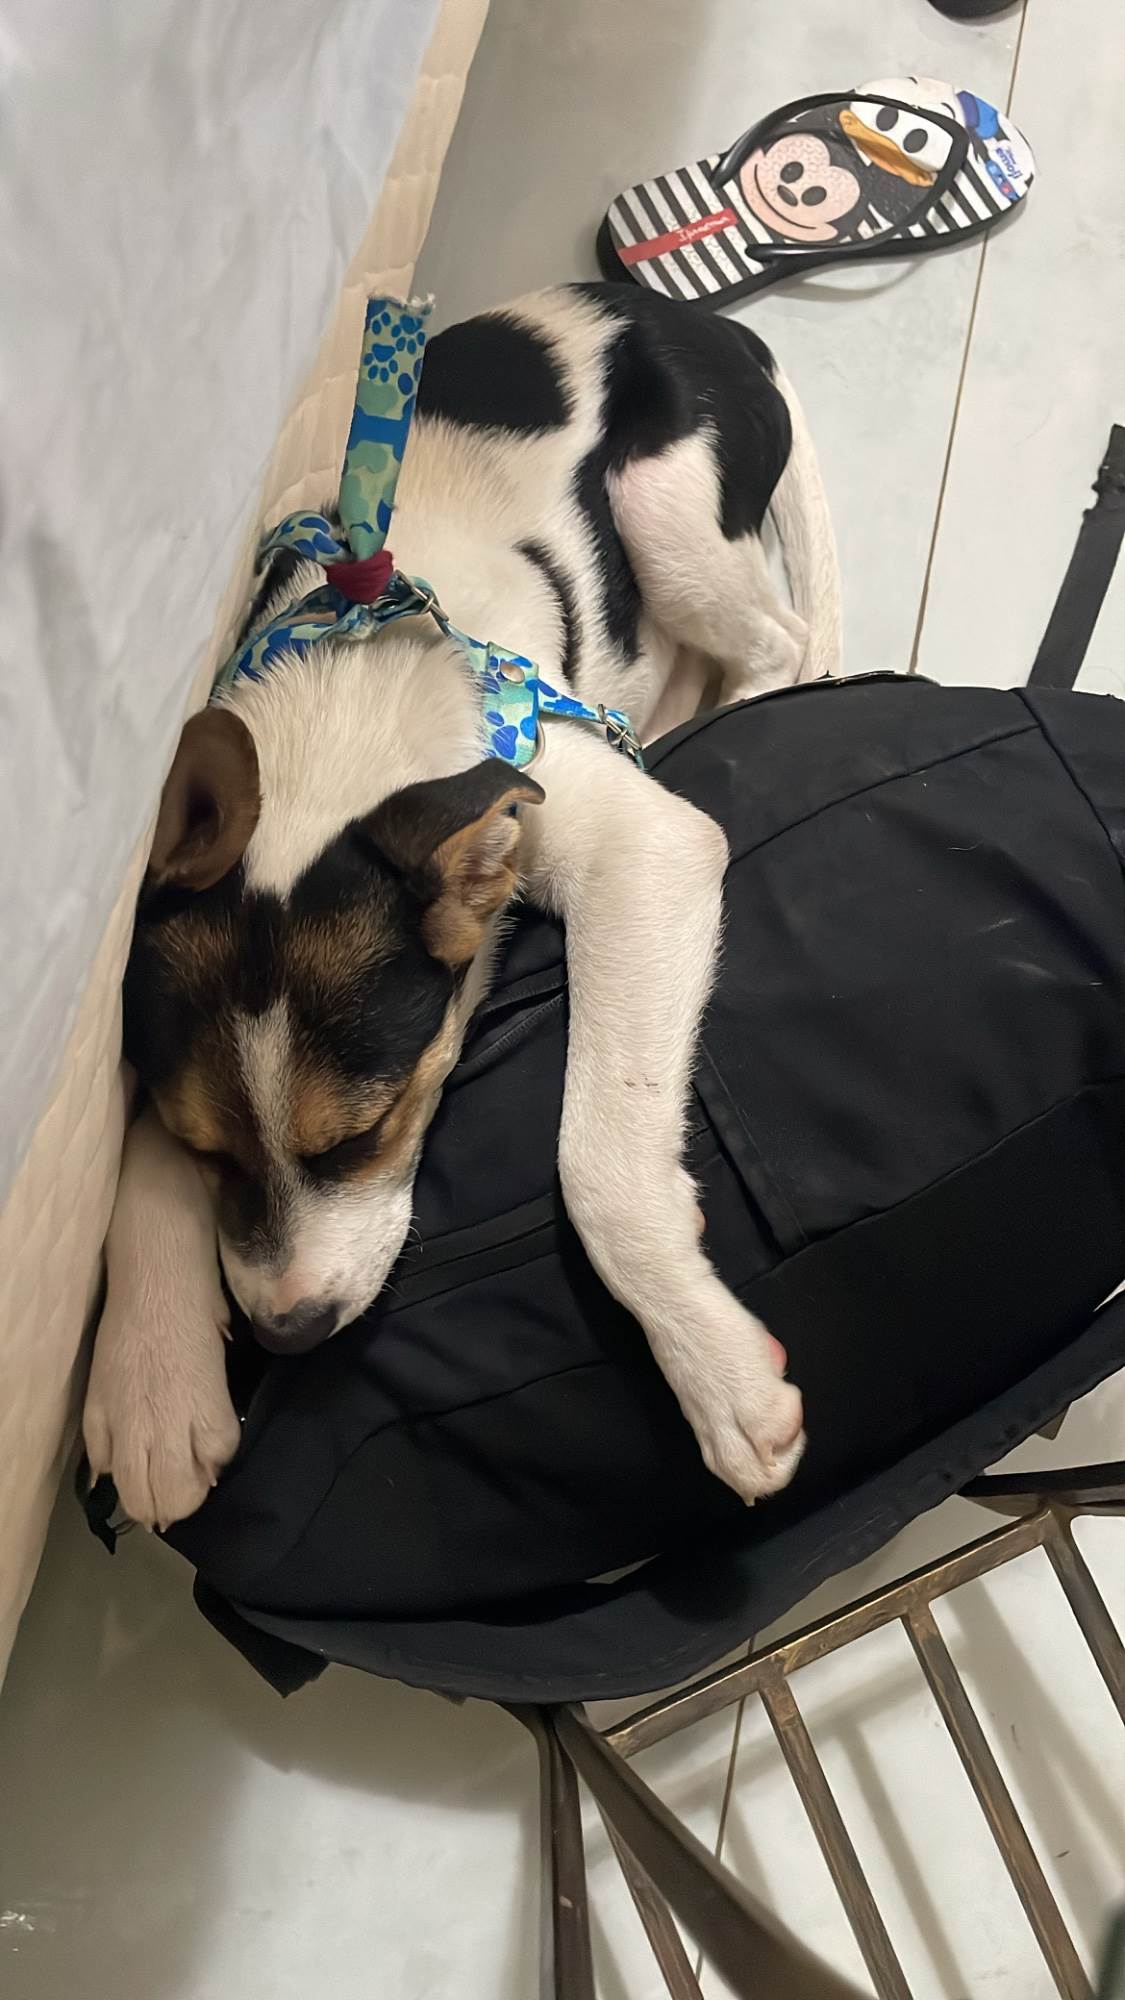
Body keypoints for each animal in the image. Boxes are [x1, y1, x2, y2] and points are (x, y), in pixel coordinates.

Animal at [83, 281, 840, 1531]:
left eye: (369, 1131)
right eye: (209, 1150)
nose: (290, 1331)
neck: (341, 712)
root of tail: (689, 317)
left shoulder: (642, 845)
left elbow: (599, 1160)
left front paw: (716, 1370)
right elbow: (140, 1149)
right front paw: (149, 1376)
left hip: (664, 503)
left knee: (776, 642)